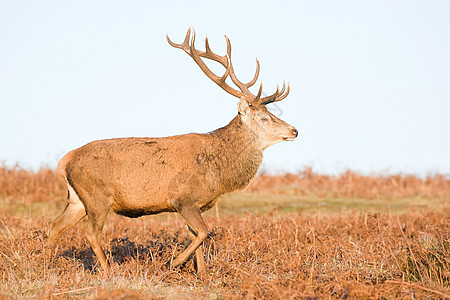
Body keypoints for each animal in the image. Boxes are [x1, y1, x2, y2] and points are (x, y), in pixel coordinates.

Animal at [47, 27, 298, 276]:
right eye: (264, 118)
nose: (294, 130)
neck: (218, 174)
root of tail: (64, 161)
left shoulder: (196, 205)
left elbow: (197, 235)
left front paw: (202, 274)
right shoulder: (182, 199)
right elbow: (204, 232)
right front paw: (173, 263)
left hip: (77, 200)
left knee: (54, 226)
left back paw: (47, 265)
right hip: (97, 196)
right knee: (90, 233)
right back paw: (109, 272)